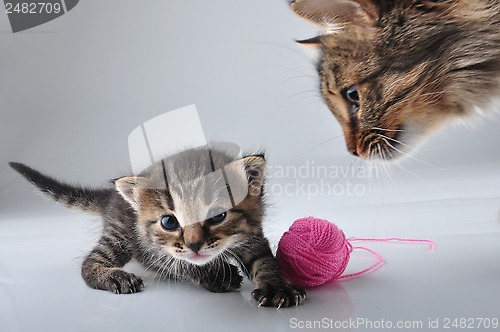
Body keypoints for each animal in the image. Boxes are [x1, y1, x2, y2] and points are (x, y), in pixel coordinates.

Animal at [8, 148, 304, 308]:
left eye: (218, 215)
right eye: (169, 222)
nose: (195, 244)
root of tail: (112, 197)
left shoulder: (253, 233)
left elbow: (264, 259)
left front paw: (277, 288)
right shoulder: (155, 248)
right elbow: (180, 262)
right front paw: (216, 275)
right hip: (120, 234)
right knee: (89, 263)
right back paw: (115, 276)